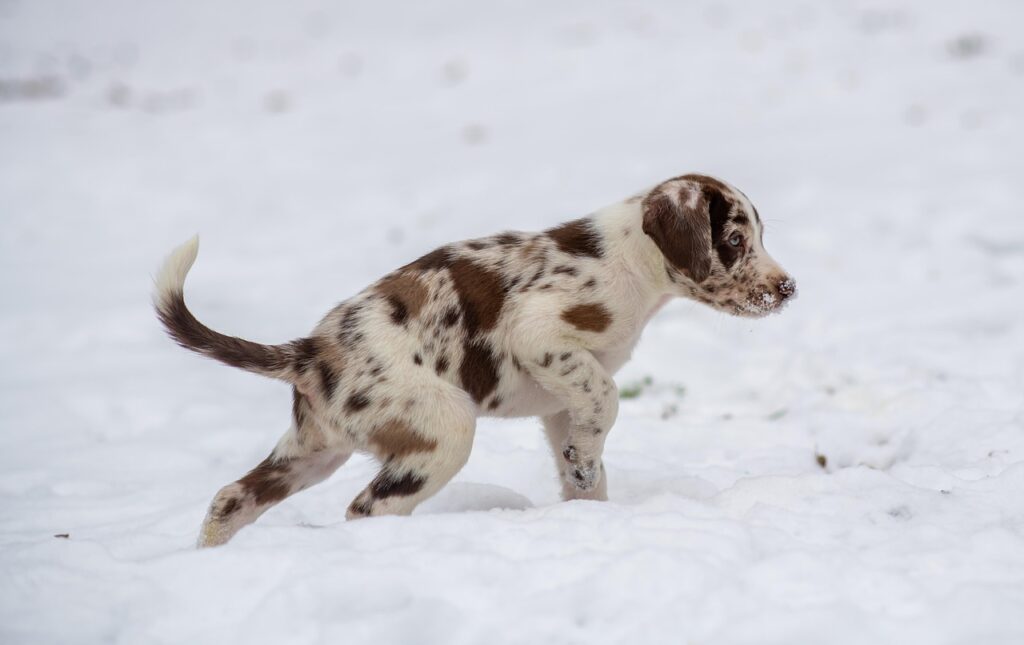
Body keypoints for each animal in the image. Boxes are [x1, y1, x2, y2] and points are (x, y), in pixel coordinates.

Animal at [151, 174, 794, 548]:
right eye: (734, 240)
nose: (788, 289)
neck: (631, 260)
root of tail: (309, 352)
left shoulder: (561, 402)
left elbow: (584, 457)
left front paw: (588, 501)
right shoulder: (541, 335)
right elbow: (608, 401)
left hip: (314, 451)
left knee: (231, 498)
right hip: (444, 431)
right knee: (366, 509)